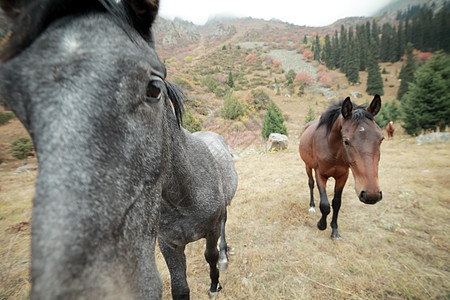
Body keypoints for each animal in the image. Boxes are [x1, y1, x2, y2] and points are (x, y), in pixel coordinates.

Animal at [0, 1, 236, 298]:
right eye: (13, 101)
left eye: (154, 87)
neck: (184, 195)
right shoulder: (169, 245)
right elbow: (180, 288)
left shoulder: (211, 229)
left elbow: (210, 256)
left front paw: (215, 283)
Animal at [298, 95, 384, 238]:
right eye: (346, 141)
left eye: (381, 138)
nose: (371, 195)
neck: (333, 150)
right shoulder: (320, 174)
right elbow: (325, 205)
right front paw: (321, 225)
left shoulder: (342, 176)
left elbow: (336, 203)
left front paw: (334, 230)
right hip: (308, 166)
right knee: (311, 183)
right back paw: (312, 206)